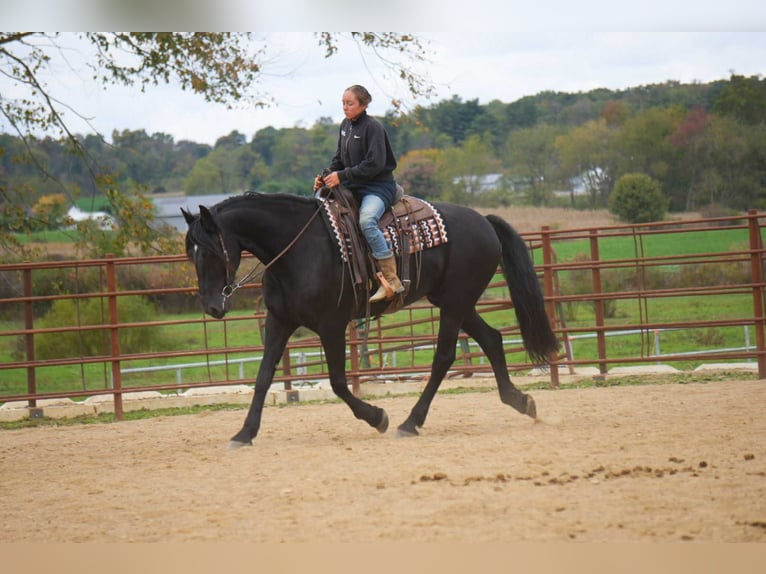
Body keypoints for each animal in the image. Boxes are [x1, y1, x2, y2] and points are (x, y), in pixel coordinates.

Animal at [182, 191, 558, 449]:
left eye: (212, 251)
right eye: (191, 253)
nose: (213, 307)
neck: (299, 249)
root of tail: (483, 220)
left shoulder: (332, 325)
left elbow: (337, 381)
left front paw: (378, 417)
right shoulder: (279, 322)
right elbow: (262, 377)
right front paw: (244, 433)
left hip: (454, 304)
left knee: (444, 357)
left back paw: (410, 422)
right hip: (458, 302)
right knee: (492, 339)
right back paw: (521, 402)